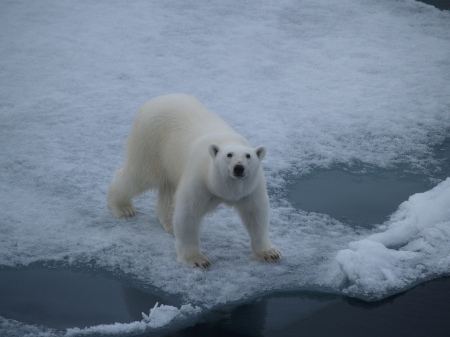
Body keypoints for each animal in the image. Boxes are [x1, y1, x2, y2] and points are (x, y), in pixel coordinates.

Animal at [107, 93, 282, 266]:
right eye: (229, 155)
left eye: (248, 156)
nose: (239, 168)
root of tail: (156, 100)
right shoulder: (200, 179)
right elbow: (188, 213)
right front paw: (196, 259)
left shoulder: (250, 187)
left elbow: (256, 213)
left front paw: (270, 252)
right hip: (151, 141)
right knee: (140, 175)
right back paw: (123, 207)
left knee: (168, 190)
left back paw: (169, 223)